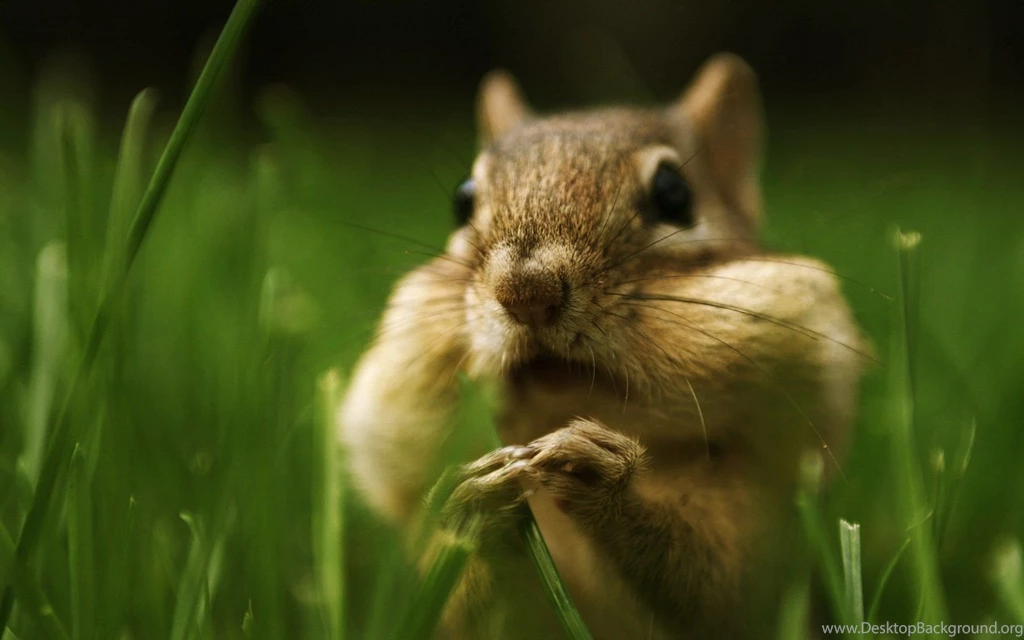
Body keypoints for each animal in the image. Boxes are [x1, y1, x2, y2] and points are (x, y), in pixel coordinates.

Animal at [338, 53, 867, 639]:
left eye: (675, 193)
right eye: (461, 199)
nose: (527, 292)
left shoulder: (754, 544)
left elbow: (708, 586)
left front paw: (603, 477)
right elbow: (461, 607)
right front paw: (474, 510)